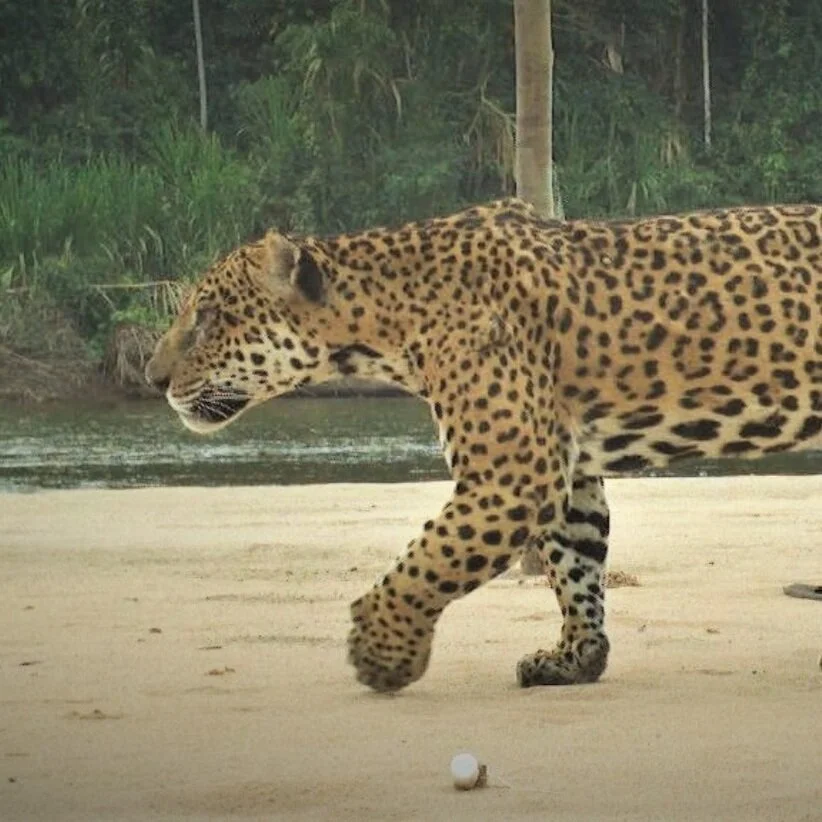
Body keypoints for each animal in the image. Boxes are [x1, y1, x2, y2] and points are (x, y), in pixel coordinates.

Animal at [145, 198, 822, 693]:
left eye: (207, 316)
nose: (152, 379)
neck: (386, 320)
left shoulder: (513, 474)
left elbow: (428, 560)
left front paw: (381, 652)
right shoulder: (567, 467)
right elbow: (577, 564)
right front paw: (576, 659)